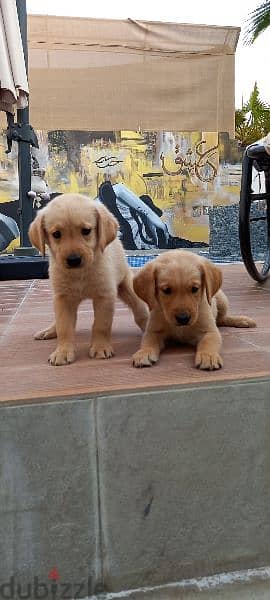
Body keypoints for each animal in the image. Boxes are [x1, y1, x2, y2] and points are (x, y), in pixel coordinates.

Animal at [28, 193, 149, 366]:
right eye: (56, 234)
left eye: (86, 231)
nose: (73, 260)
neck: (79, 274)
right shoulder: (62, 299)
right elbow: (64, 327)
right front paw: (63, 351)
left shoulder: (104, 296)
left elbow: (101, 325)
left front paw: (100, 347)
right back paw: (49, 330)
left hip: (126, 286)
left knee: (140, 309)